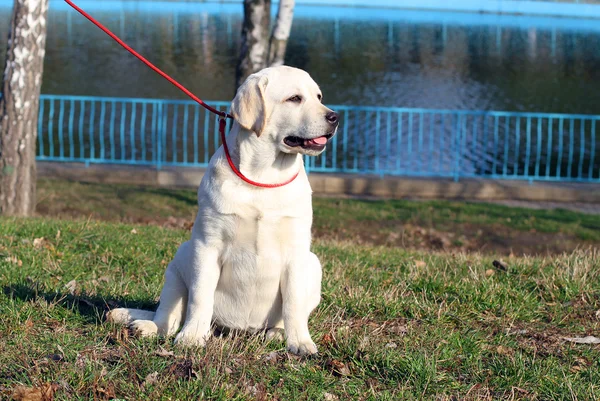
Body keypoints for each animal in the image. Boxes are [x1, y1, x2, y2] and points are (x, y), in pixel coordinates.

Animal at [108, 66, 340, 356]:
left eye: (318, 96)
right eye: (295, 98)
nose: (335, 117)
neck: (263, 176)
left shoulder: (296, 252)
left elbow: (293, 303)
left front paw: (300, 342)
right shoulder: (208, 244)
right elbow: (199, 297)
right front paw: (192, 336)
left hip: (313, 265)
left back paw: (276, 333)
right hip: (180, 259)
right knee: (168, 316)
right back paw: (149, 327)